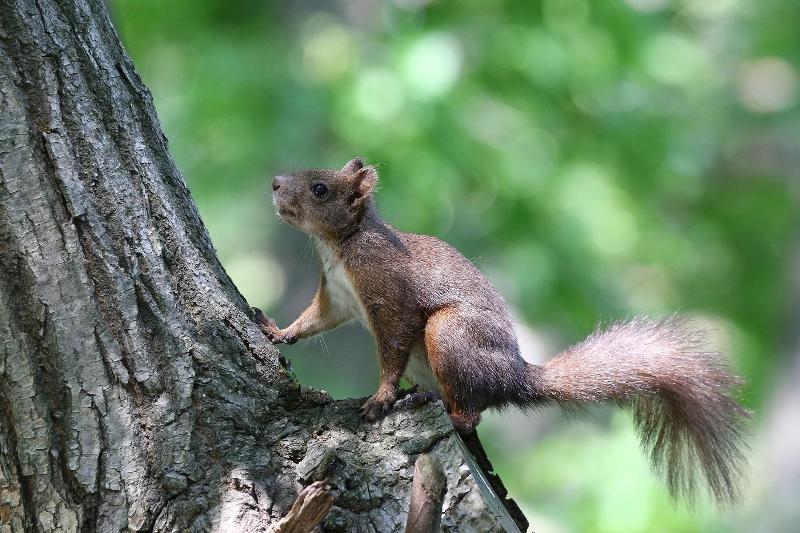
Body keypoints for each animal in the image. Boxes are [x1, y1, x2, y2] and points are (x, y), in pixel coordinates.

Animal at [258, 157, 752, 502]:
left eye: (321, 189)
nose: (275, 183)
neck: (341, 243)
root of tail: (513, 377)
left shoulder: (387, 292)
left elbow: (393, 344)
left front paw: (380, 398)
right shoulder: (338, 297)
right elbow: (315, 320)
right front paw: (277, 332)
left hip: (450, 335)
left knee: (472, 411)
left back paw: (437, 407)